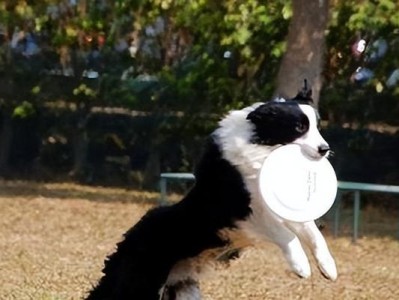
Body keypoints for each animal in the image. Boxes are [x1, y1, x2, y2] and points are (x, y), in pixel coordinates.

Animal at [86, 88, 338, 298]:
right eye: (299, 128)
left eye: (317, 126)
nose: (325, 149)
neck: (265, 148)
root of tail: (127, 239)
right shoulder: (242, 212)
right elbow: (286, 234)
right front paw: (301, 267)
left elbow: (314, 234)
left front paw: (329, 268)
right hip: (140, 283)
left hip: (182, 291)